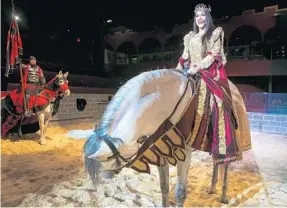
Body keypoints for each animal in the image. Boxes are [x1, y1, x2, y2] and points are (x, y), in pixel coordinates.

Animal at [82, 68, 250, 206]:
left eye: (109, 160)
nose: (107, 175)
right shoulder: (161, 152)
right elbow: (164, 188)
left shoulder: (184, 154)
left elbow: (180, 192)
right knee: (216, 162)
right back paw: (212, 188)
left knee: (225, 165)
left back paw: (223, 195)